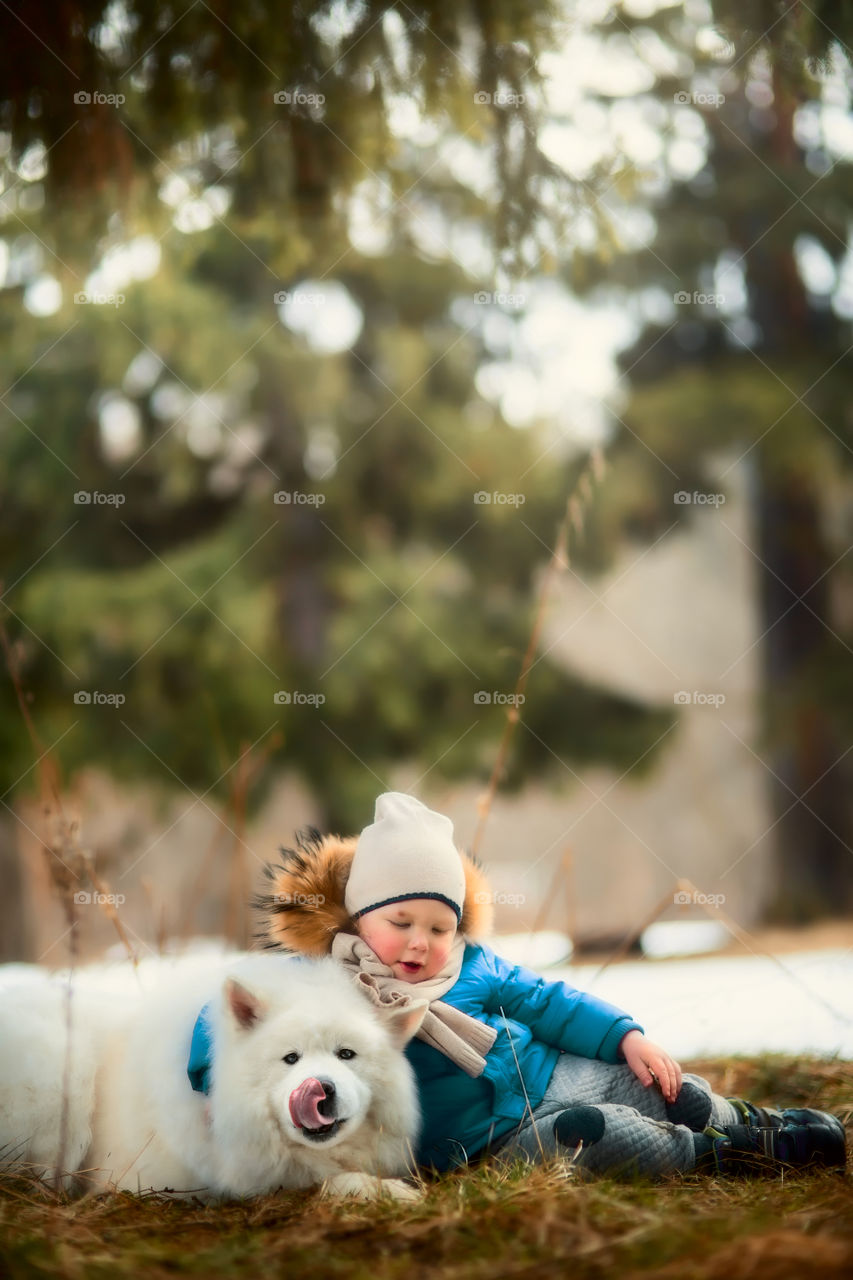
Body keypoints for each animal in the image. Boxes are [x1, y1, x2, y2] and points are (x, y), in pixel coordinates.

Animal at [0, 952, 422, 1198]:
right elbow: (326, 1182)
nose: (320, 1089)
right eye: (290, 1058)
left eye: (346, 1054)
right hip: (63, 1064)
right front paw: (386, 1191)